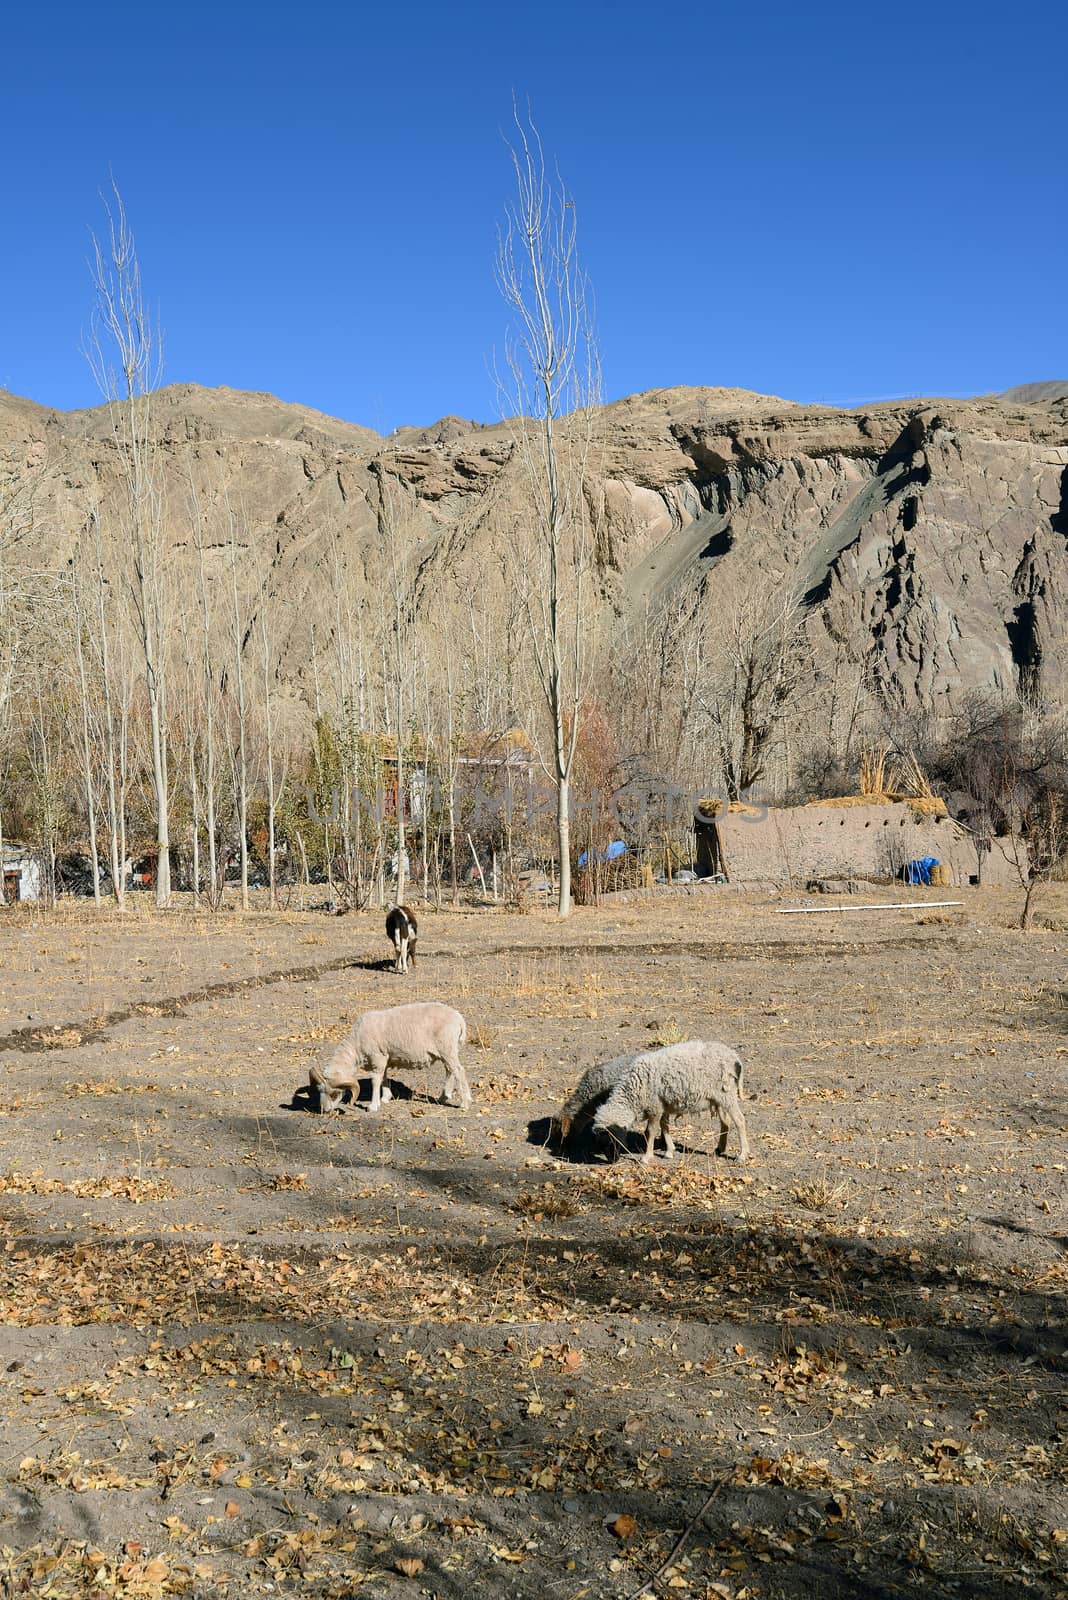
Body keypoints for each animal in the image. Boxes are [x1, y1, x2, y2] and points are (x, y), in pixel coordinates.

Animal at [310, 998, 473, 1113]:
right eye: (319, 1091)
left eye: (334, 1094)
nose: (324, 1111)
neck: (356, 1044)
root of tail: (459, 1018)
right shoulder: (385, 1057)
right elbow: (384, 1077)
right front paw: (386, 1097)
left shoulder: (378, 1056)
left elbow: (375, 1080)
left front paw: (373, 1106)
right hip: (446, 1051)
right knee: (450, 1070)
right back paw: (444, 1097)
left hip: (447, 1048)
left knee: (459, 1071)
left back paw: (465, 1103)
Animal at [591, 1036, 751, 1164]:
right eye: (600, 1143)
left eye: (612, 1139)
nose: (612, 1161)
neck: (633, 1091)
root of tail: (735, 1058)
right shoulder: (663, 1104)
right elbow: (664, 1126)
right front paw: (669, 1151)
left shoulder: (654, 1105)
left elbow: (650, 1131)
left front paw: (646, 1157)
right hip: (719, 1098)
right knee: (726, 1122)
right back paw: (720, 1149)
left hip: (727, 1094)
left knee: (739, 1120)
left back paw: (742, 1155)